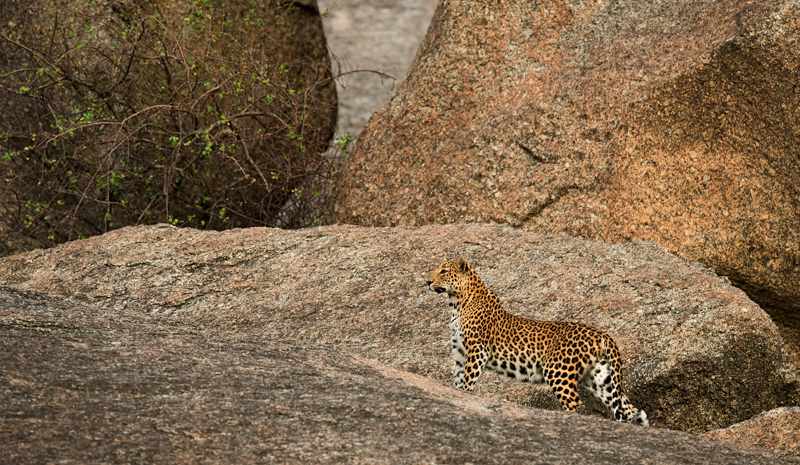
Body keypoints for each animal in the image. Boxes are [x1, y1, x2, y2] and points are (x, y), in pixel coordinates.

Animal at [428, 256, 648, 426]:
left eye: (443, 271)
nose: (427, 282)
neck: (456, 303)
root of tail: (602, 334)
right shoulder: (460, 353)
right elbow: (458, 380)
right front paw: (457, 394)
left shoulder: (477, 350)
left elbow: (468, 380)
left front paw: (465, 395)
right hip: (601, 378)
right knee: (628, 408)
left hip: (558, 372)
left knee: (576, 404)